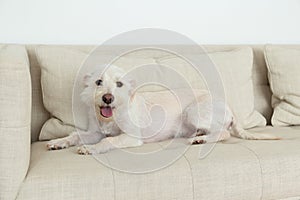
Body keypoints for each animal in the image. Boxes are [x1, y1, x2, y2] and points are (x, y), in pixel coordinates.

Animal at [47, 65, 278, 154]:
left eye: (119, 84)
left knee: (224, 133)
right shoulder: (94, 131)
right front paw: (59, 142)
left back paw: (201, 139)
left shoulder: (130, 137)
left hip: (192, 112)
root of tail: (229, 106)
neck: (113, 116)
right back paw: (199, 136)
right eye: (98, 82)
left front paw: (91, 149)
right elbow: (76, 135)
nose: (107, 98)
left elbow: (108, 141)